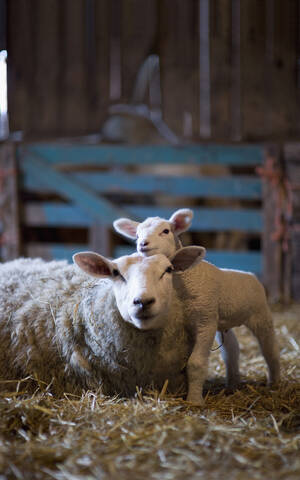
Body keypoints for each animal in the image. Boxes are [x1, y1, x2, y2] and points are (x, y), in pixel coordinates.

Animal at [113, 208, 282, 404]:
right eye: (137, 234)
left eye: (165, 231)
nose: (142, 243)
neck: (186, 278)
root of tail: (250, 275)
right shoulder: (192, 321)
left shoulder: (205, 321)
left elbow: (196, 363)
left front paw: (194, 401)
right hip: (221, 321)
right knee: (232, 349)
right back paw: (232, 385)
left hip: (260, 313)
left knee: (270, 348)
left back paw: (274, 383)